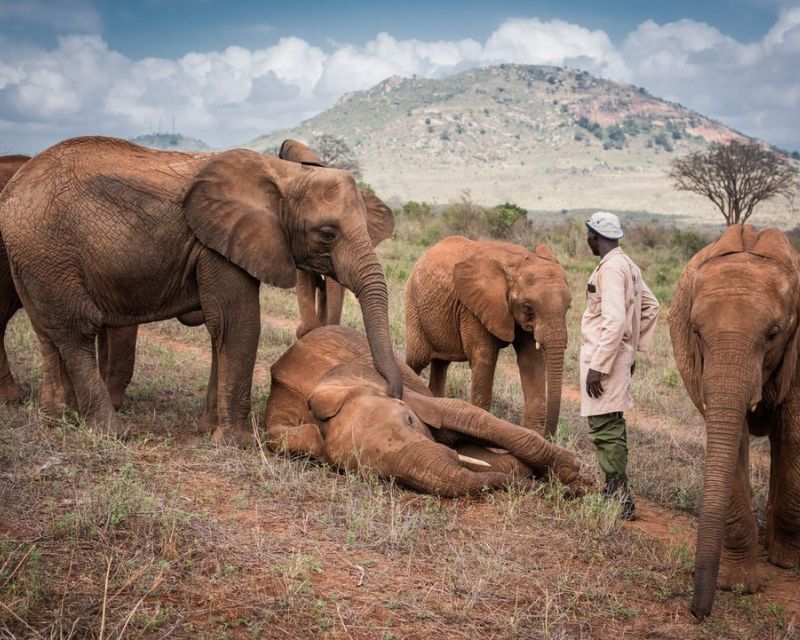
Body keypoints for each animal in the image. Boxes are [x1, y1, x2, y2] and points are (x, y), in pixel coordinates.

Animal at [264, 325, 584, 496]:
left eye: (409, 419)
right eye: (381, 477)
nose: (569, 494)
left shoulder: (399, 389)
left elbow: (465, 415)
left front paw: (573, 473)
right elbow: (481, 458)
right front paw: (537, 475)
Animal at [404, 236, 571, 438]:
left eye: (568, 307)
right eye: (528, 307)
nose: (550, 435)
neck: (517, 262)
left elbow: (532, 362)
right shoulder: (473, 308)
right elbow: (484, 358)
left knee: (440, 364)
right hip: (413, 303)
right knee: (417, 358)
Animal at [669, 223, 800, 619]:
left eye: (773, 334)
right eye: (696, 332)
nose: (697, 613)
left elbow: (792, 434)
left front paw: (787, 564)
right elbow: (734, 438)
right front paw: (739, 587)